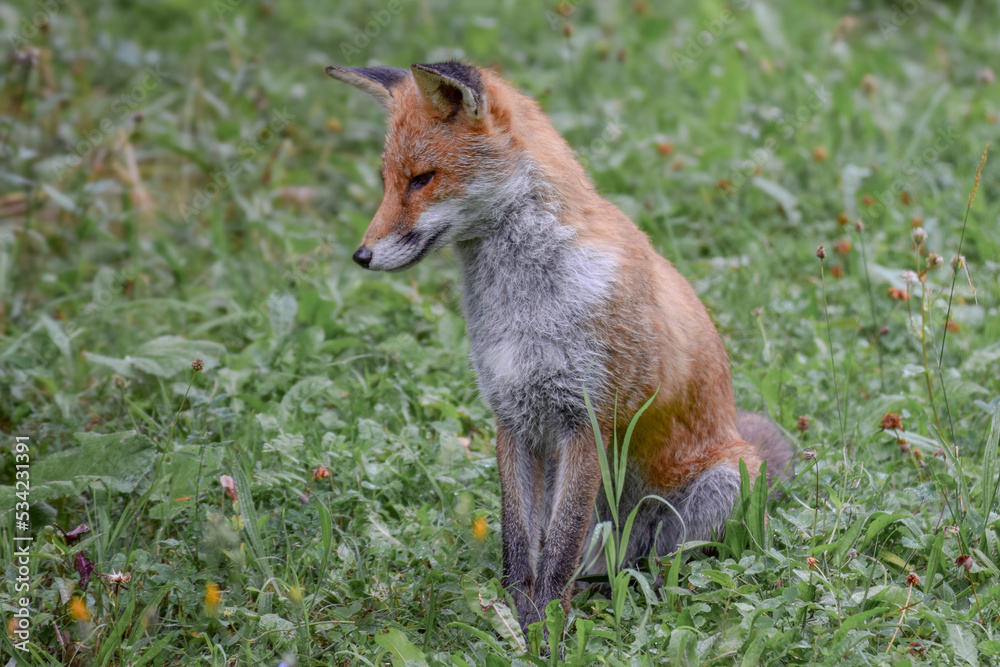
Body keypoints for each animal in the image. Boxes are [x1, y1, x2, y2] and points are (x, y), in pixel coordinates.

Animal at [328, 62, 796, 632]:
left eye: (422, 179)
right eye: (388, 182)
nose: (362, 255)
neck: (523, 306)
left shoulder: (587, 420)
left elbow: (557, 549)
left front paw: (546, 627)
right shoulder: (513, 418)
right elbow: (520, 545)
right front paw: (515, 618)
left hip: (716, 489)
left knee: (659, 568)